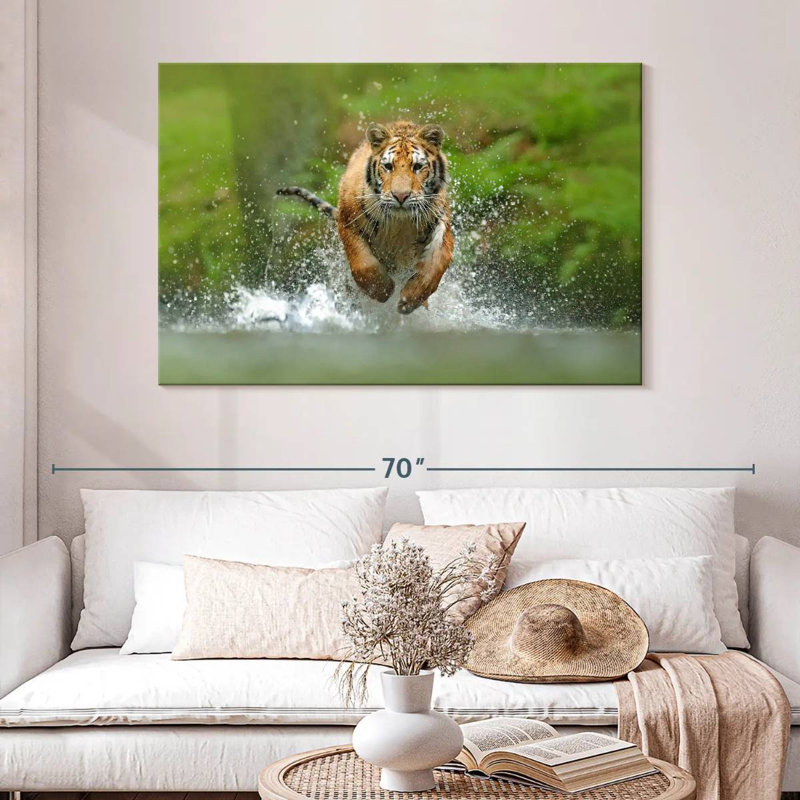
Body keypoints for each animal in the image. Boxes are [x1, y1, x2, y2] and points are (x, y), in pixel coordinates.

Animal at [277, 120, 453, 314]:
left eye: (417, 167)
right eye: (388, 166)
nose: (401, 196)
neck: (400, 222)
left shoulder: (441, 222)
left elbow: (437, 263)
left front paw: (410, 299)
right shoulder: (348, 222)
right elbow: (363, 263)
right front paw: (383, 290)